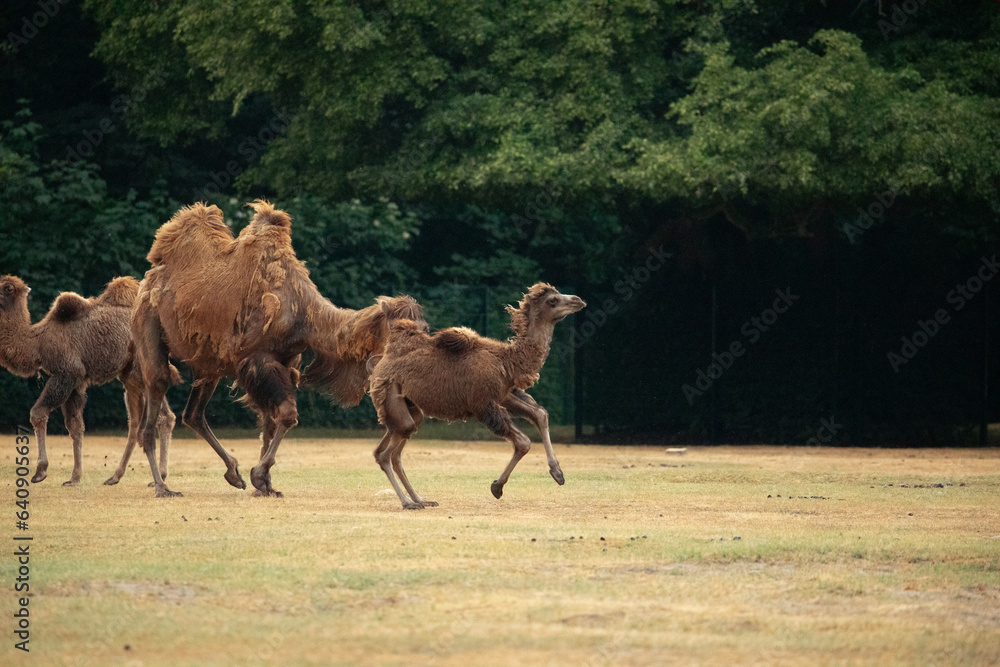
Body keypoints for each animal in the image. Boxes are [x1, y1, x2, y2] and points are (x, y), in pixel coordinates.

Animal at [0, 275, 177, 486]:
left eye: (8, 288)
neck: (38, 342)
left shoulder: (67, 372)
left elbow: (38, 413)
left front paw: (40, 471)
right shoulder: (76, 382)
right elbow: (75, 426)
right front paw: (74, 477)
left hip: (139, 370)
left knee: (162, 417)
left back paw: (160, 477)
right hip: (130, 376)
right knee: (137, 421)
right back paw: (117, 476)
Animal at [132, 200, 425, 497]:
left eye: (424, 328)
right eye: (401, 329)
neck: (302, 314)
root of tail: (149, 280)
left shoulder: (286, 361)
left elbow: (271, 423)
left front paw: (265, 485)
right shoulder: (258, 360)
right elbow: (286, 416)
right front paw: (259, 476)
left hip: (208, 363)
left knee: (193, 414)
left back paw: (232, 472)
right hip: (148, 324)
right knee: (156, 395)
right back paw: (162, 487)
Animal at [367, 283, 586, 509]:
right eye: (553, 300)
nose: (578, 300)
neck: (508, 362)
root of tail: (379, 363)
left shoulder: (504, 394)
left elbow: (539, 414)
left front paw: (558, 473)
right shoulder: (484, 404)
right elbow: (524, 442)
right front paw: (497, 486)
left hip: (410, 407)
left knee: (391, 447)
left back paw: (420, 499)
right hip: (390, 394)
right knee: (388, 450)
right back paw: (408, 502)